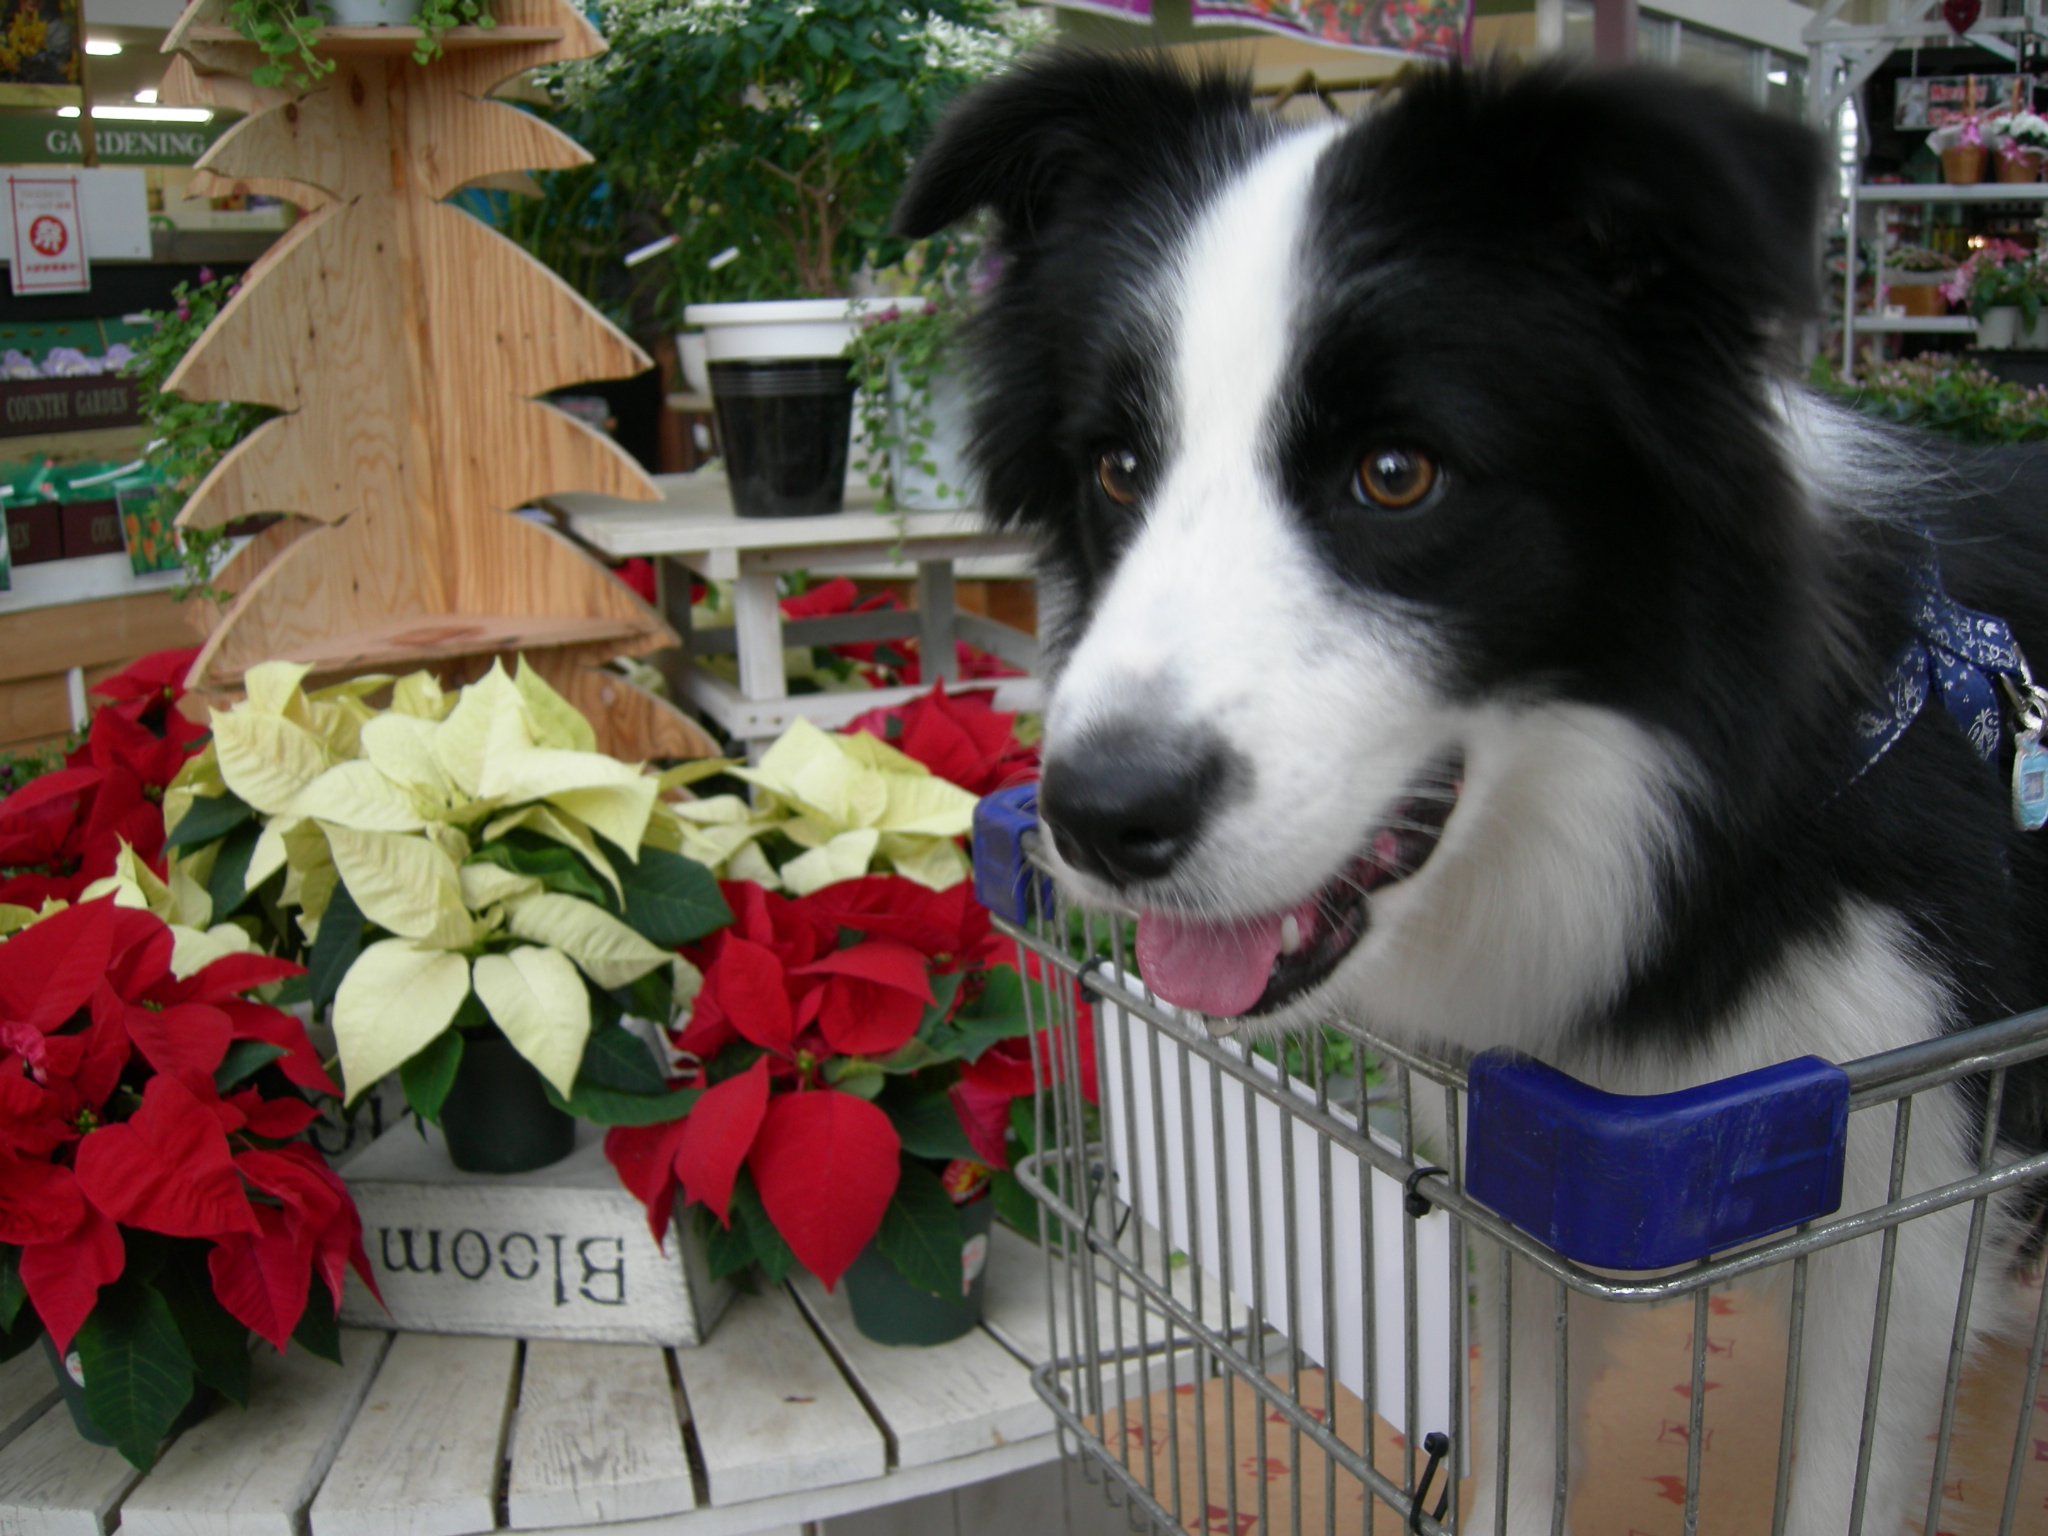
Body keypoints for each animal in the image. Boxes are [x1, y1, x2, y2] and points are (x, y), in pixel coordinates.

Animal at [897, 54, 2048, 1534]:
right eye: (1116, 468)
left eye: (1396, 473)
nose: (1100, 817)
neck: (1691, 821)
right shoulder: (1528, 1172)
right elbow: (1523, 1423)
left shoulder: (1909, 1185)